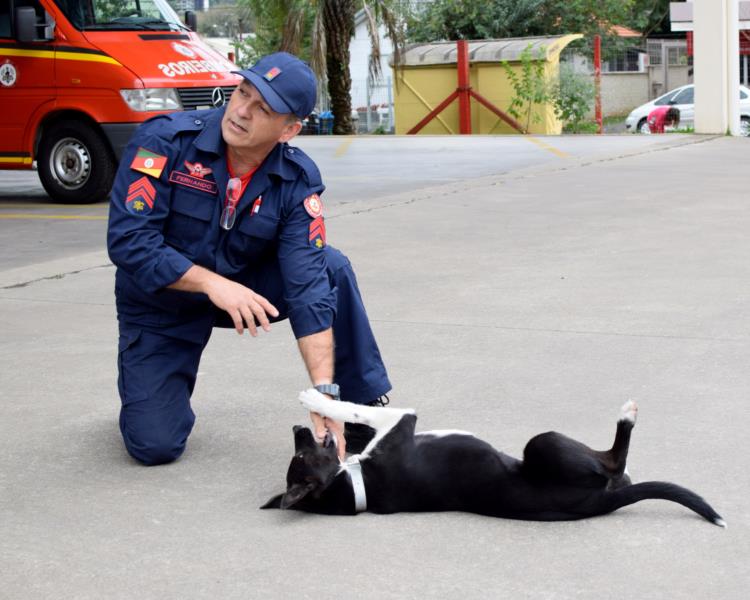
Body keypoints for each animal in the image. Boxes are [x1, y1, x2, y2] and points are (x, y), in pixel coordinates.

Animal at [262, 390, 724, 524]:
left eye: (300, 450)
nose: (299, 429)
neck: (359, 486)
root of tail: (602, 500)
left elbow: (358, 412)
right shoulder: (402, 422)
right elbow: (359, 409)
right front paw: (315, 396)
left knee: (621, 469)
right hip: (544, 443)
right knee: (615, 459)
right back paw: (626, 415)